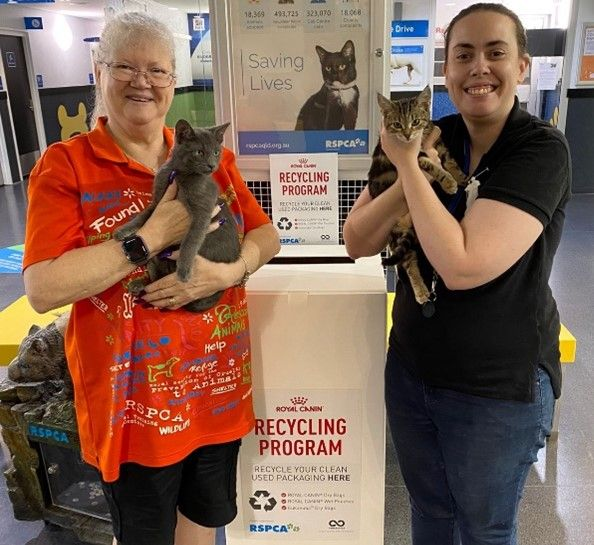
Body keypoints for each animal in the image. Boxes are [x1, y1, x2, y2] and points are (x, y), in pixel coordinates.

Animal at [113, 120, 238, 312]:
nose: (212, 165)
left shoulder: (203, 210)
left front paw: (184, 271)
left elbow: (191, 240)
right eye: (199, 152)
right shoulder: (158, 201)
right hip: (155, 259)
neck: (179, 174)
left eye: (217, 152)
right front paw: (123, 230)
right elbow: (144, 216)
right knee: (156, 277)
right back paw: (139, 285)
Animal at [366, 87, 468, 312]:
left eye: (415, 121)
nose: (406, 134)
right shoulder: (415, 157)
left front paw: (461, 177)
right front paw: (448, 182)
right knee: (408, 263)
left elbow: (450, 161)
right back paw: (420, 291)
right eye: (397, 124)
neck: (419, 139)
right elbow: (431, 164)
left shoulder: (440, 143)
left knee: (410, 259)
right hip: (395, 236)